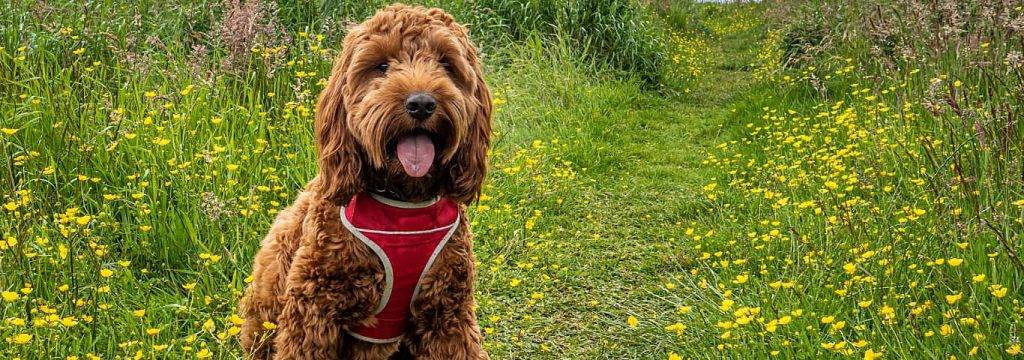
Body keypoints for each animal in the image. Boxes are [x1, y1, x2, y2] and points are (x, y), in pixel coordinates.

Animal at [241, 4, 493, 357]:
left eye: (446, 64)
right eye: (382, 66)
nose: (421, 103)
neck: (403, 202)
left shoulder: (447, 313)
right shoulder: (313, 312)